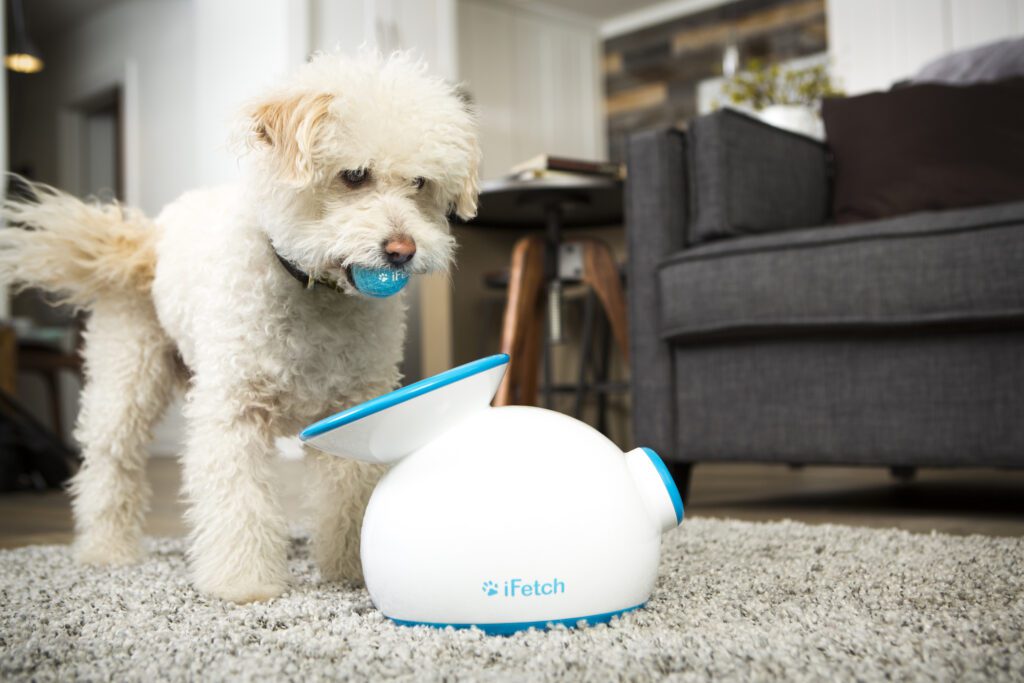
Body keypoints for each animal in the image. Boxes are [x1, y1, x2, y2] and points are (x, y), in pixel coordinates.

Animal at [1, 56, 479, 606]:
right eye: (354, 175)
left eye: (420, 183)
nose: (402, 251)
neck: (313, 292)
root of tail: (151, 236)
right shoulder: (233, 412)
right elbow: (239, 502)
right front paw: (243, 583)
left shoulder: (357, 405)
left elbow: (349, 492)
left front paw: (350, 569)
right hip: (128, 379)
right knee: (109, 463)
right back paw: (106, 549)